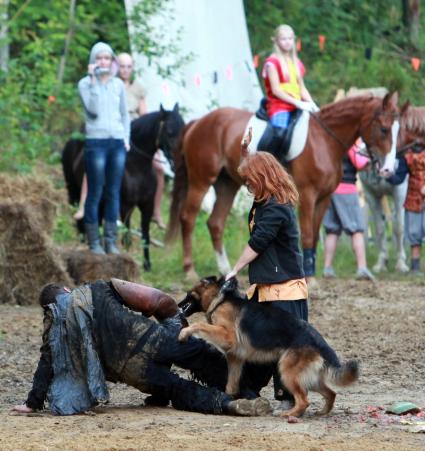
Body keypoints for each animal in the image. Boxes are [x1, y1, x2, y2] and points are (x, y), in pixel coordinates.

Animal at [166, 93, 400, 280]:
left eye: (398, 130)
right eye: (384, 129)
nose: (388, 169)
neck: (324, 140)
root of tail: (199, 122)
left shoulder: (324, 199)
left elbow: (315, 235)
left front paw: (310, 273)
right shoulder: (307, 195)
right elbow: (307, 235)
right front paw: (310, 277)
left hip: (227, 184)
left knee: (215, 223)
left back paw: (225, 270)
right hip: (201, 180)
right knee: (188, 218)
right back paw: (189, 270)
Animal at [177, 278, 360, 418]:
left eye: (187, 294)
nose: (177, 306)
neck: (220, 300)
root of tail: (319, 341)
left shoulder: (228, 337)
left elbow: (199, 324)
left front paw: (184, 333)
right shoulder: (235, 358)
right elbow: (231, 384)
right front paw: (229, 399)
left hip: (287, 373)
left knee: (304, 400)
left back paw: (289, 414)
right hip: (309, 378)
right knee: (331, 393)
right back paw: (322, 412)